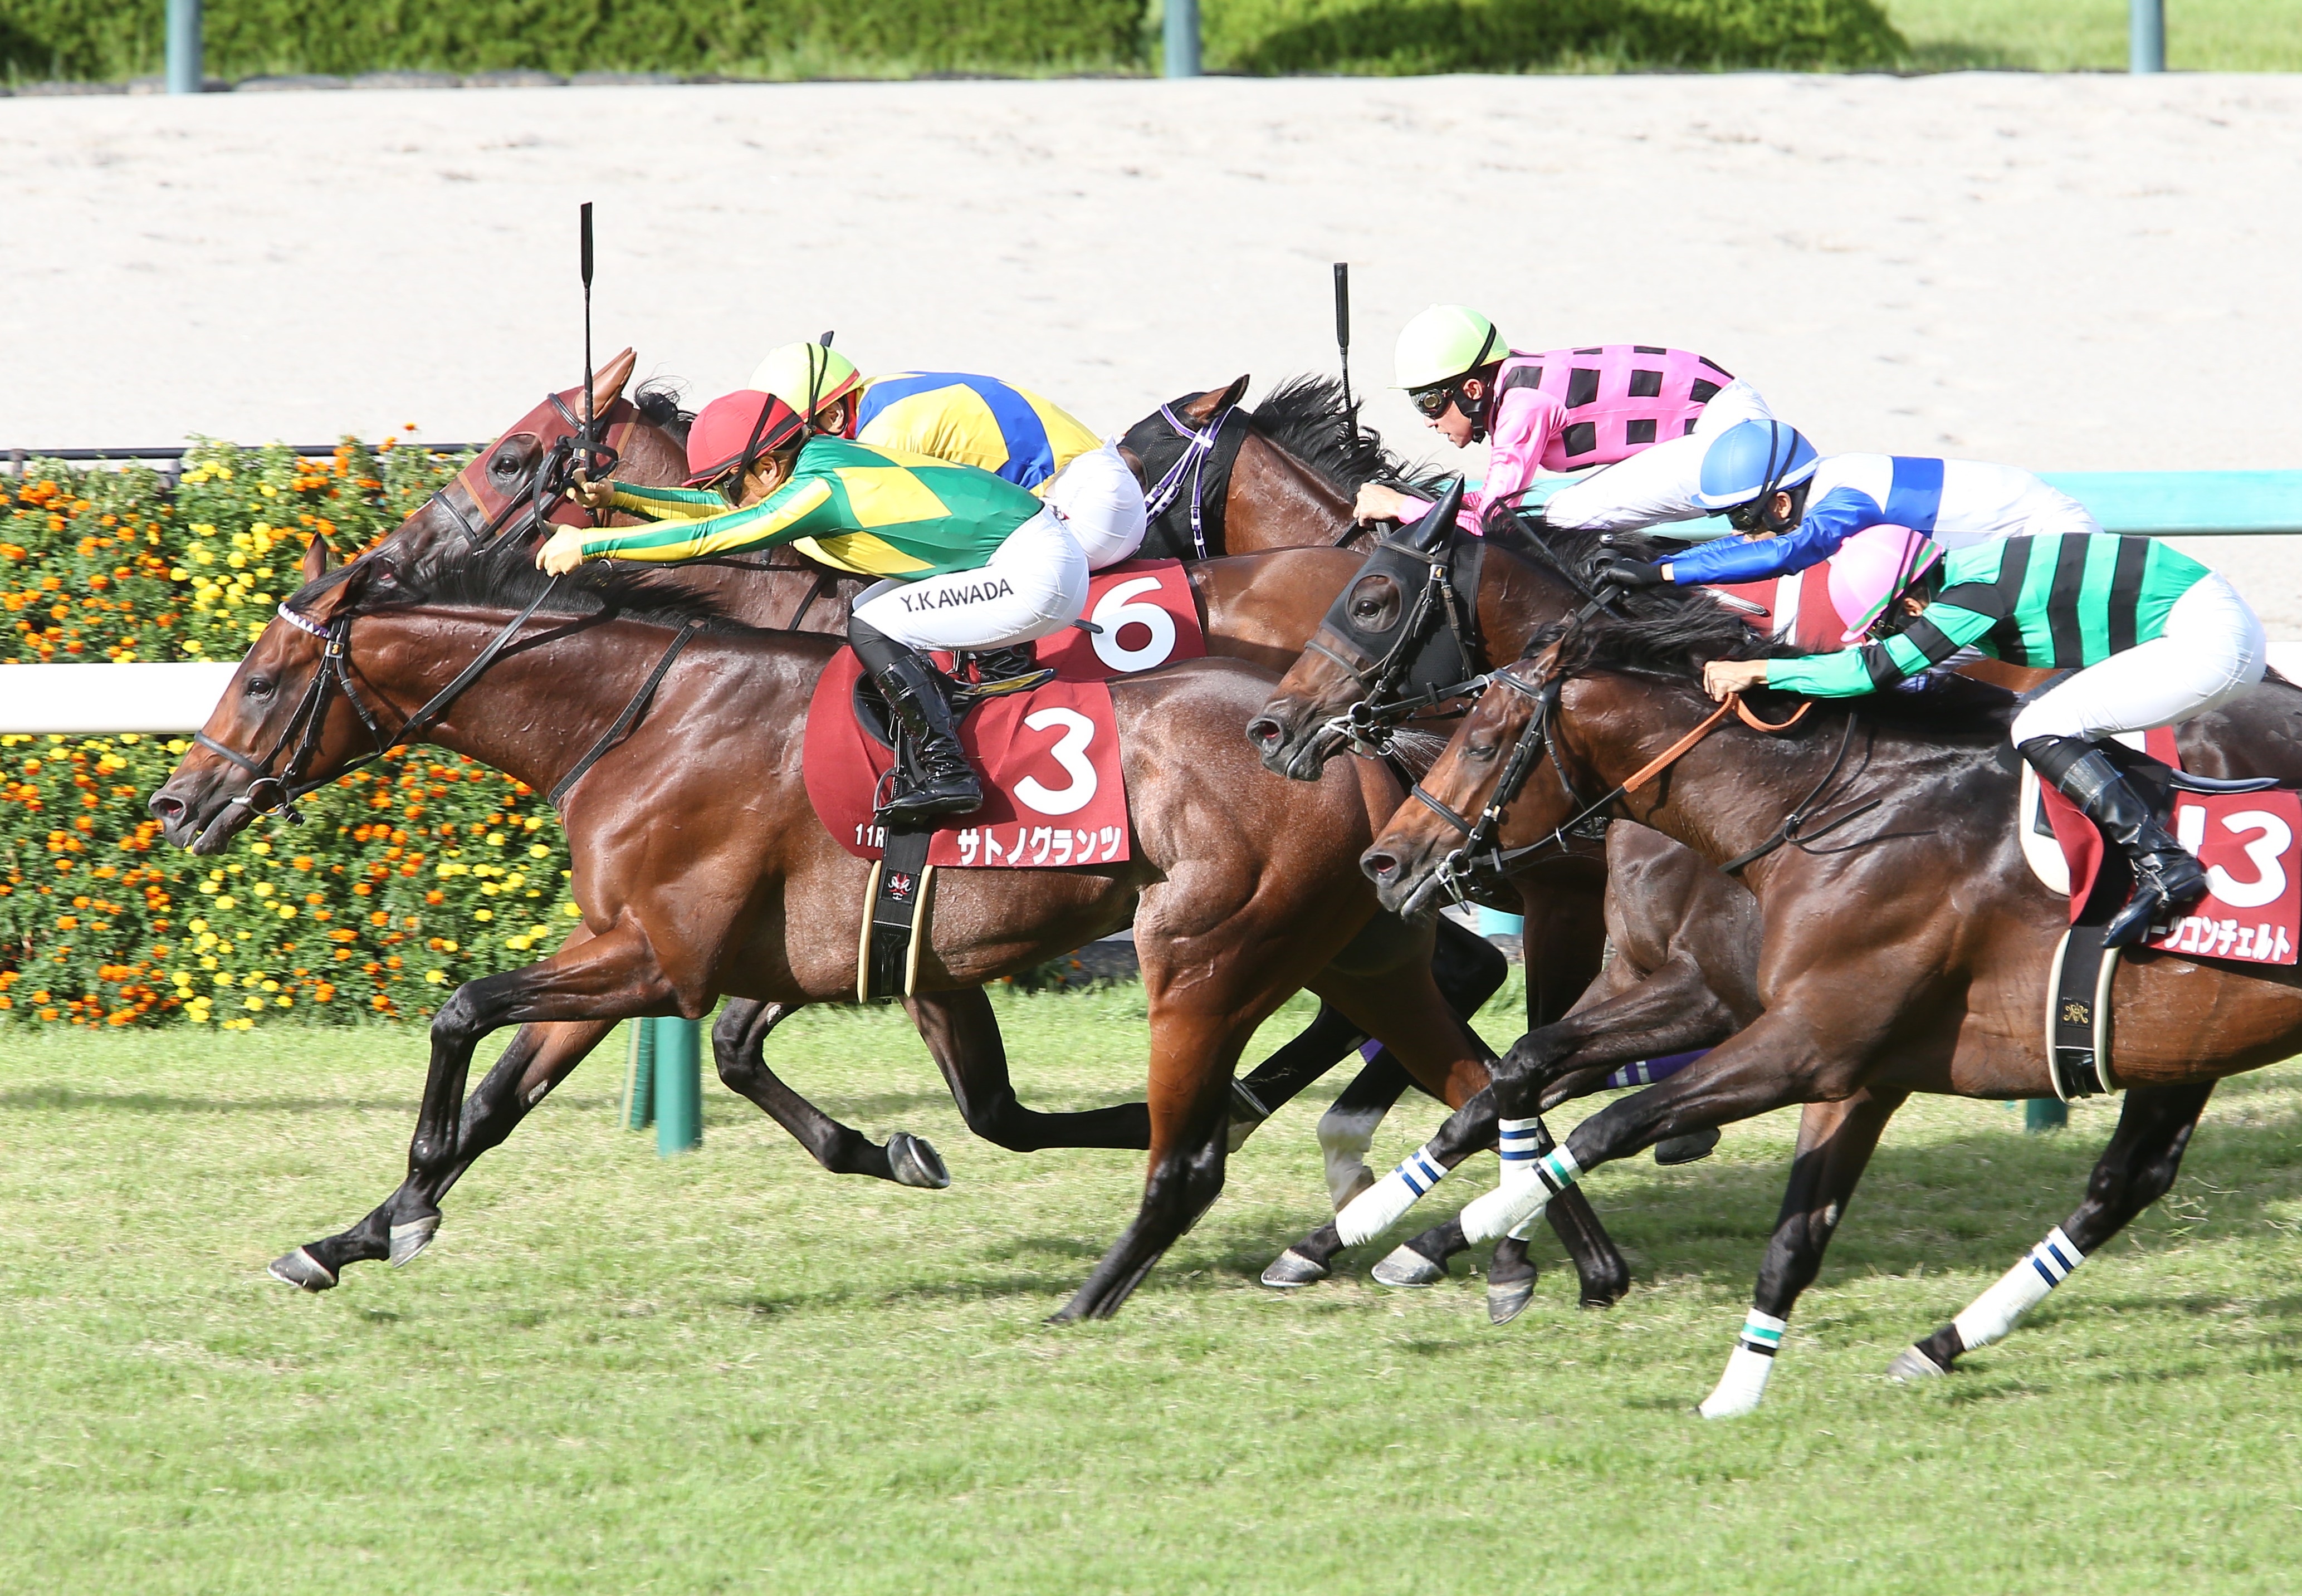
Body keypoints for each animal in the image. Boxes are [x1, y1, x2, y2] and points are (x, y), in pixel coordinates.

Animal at [1353, 522, 2302, 1409]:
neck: (1835, 811)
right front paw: (1383, 1222)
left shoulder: (1802, 1039)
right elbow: (1524, 1075)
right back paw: (1941, 1343)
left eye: (1484, 740)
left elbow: (1608, 1123)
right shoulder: (1808, 1046)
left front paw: (1476, 1226)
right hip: (2188, 1043)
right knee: (2127, 1179)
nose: (1386, 862)